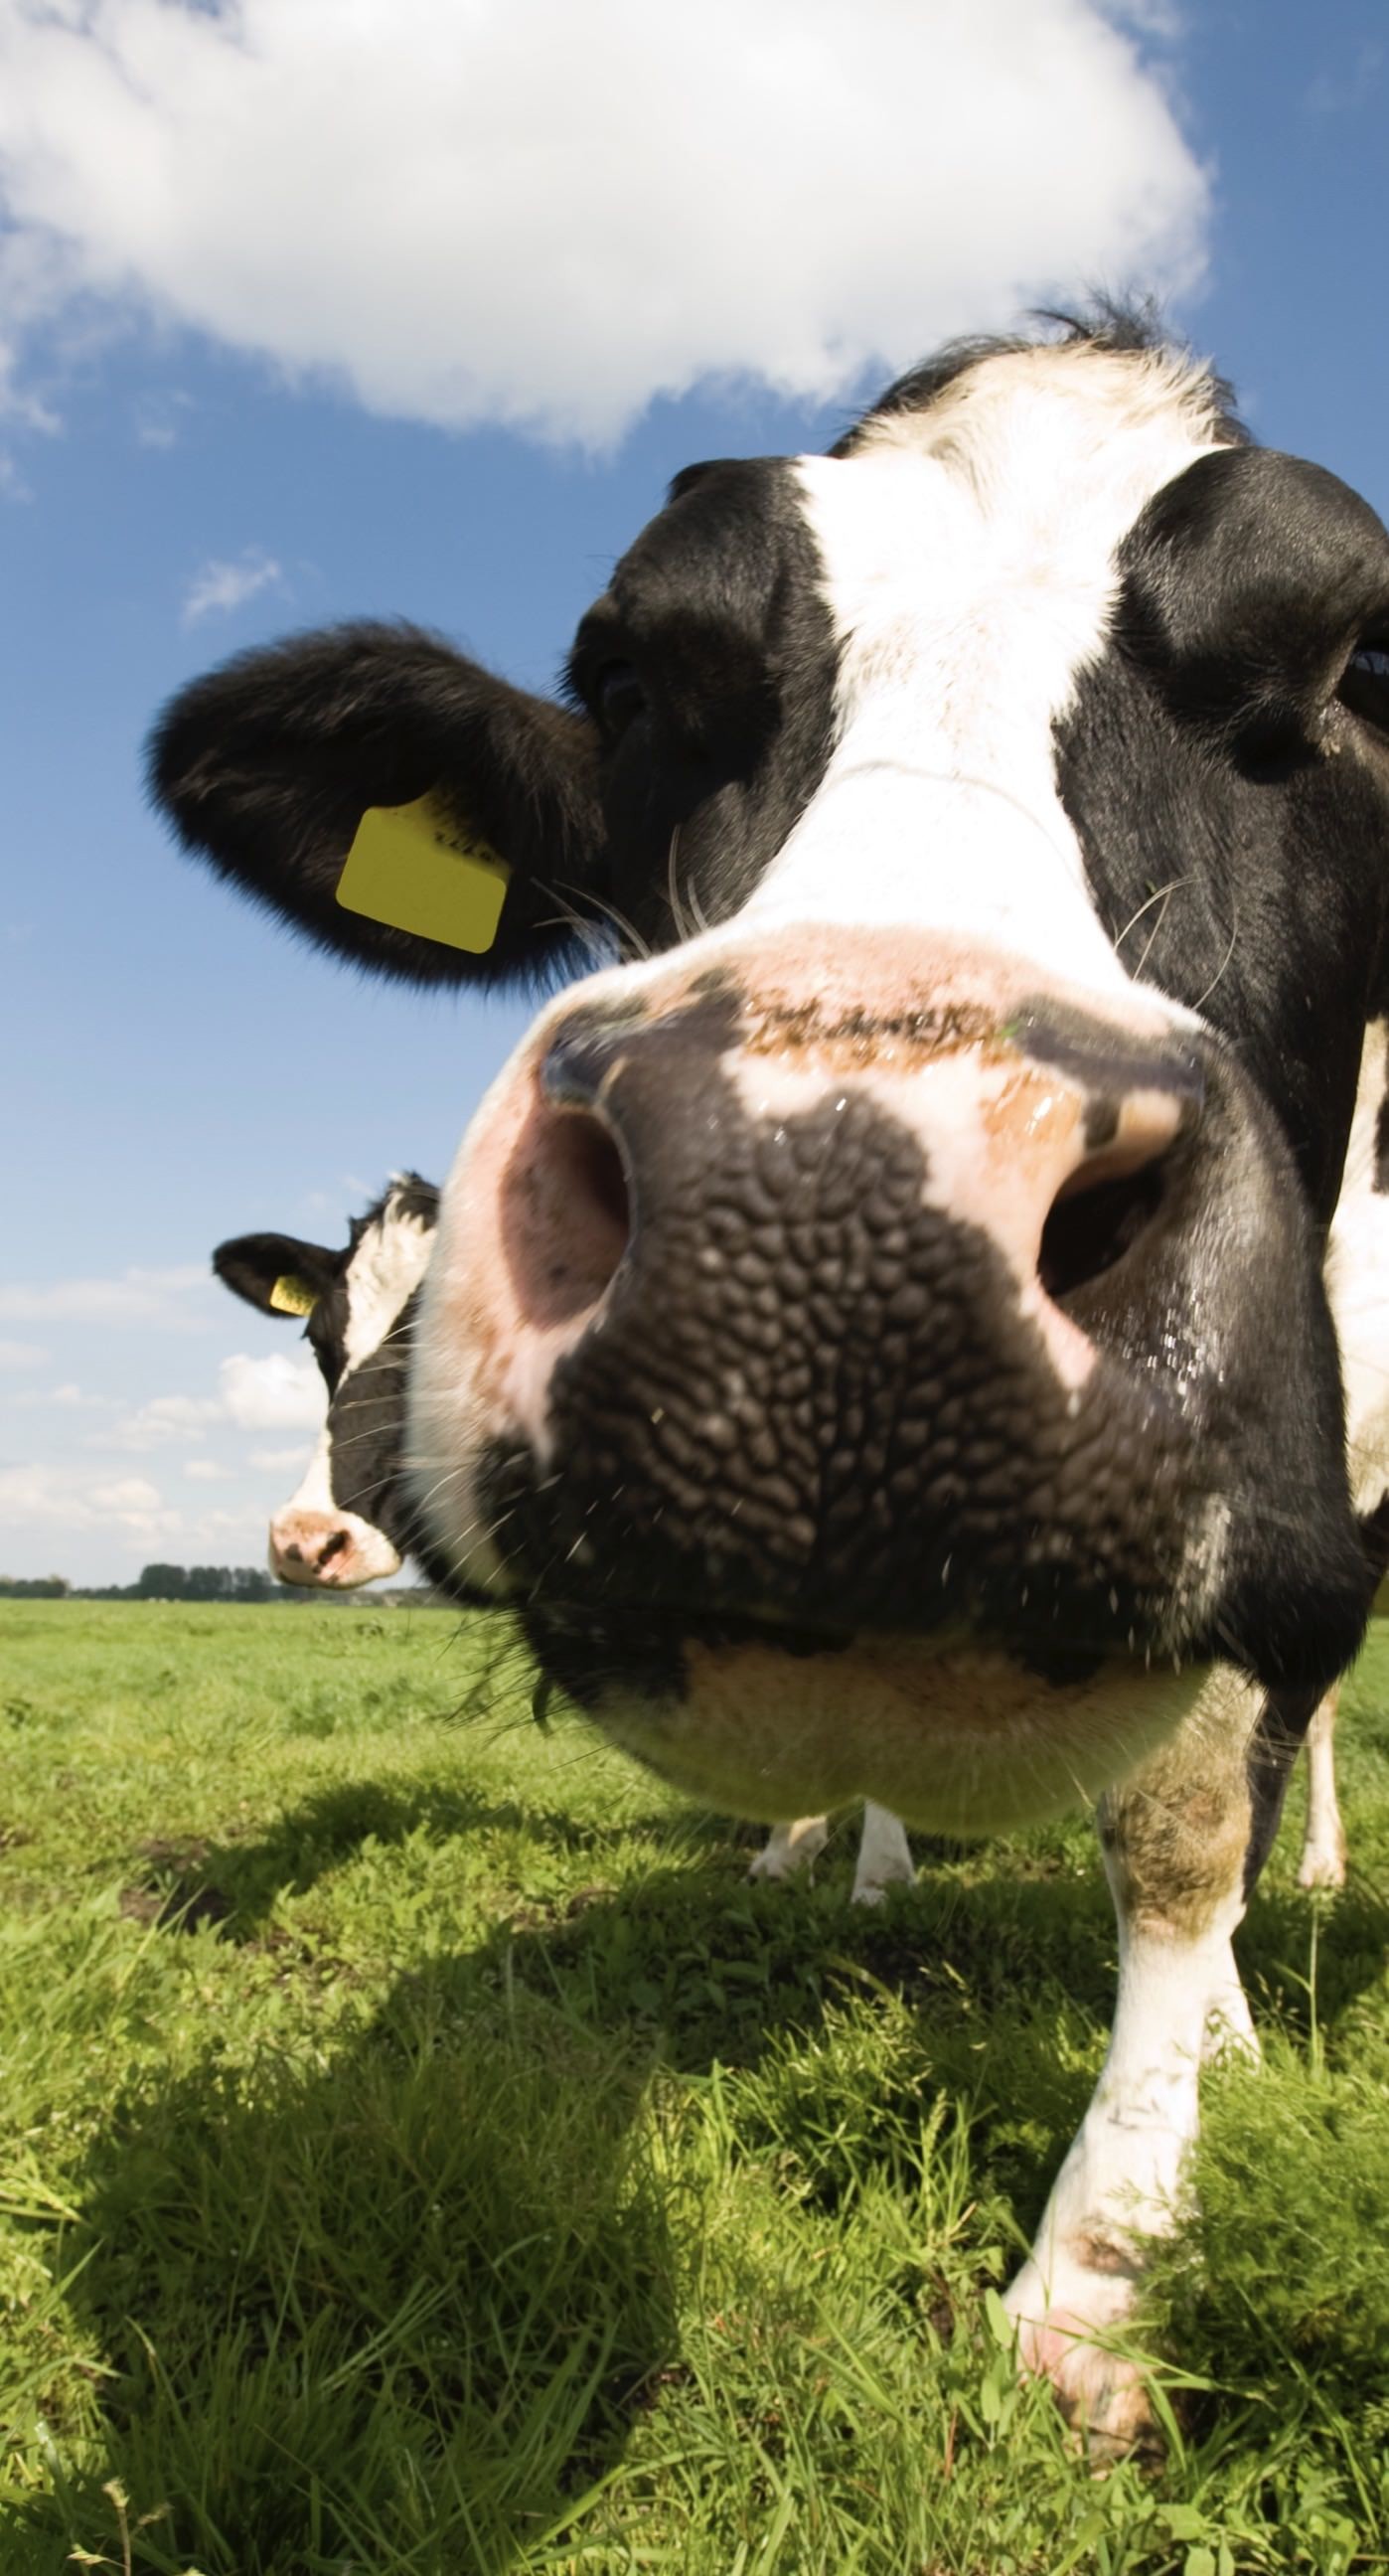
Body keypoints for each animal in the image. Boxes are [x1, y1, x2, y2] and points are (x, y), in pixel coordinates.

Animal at [151, 308, 1389, 2444]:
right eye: (635, 676)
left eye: (1330, 671)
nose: (836, 1215)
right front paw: (827, 1863)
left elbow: (1181, 1816)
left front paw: (1098, 2280)